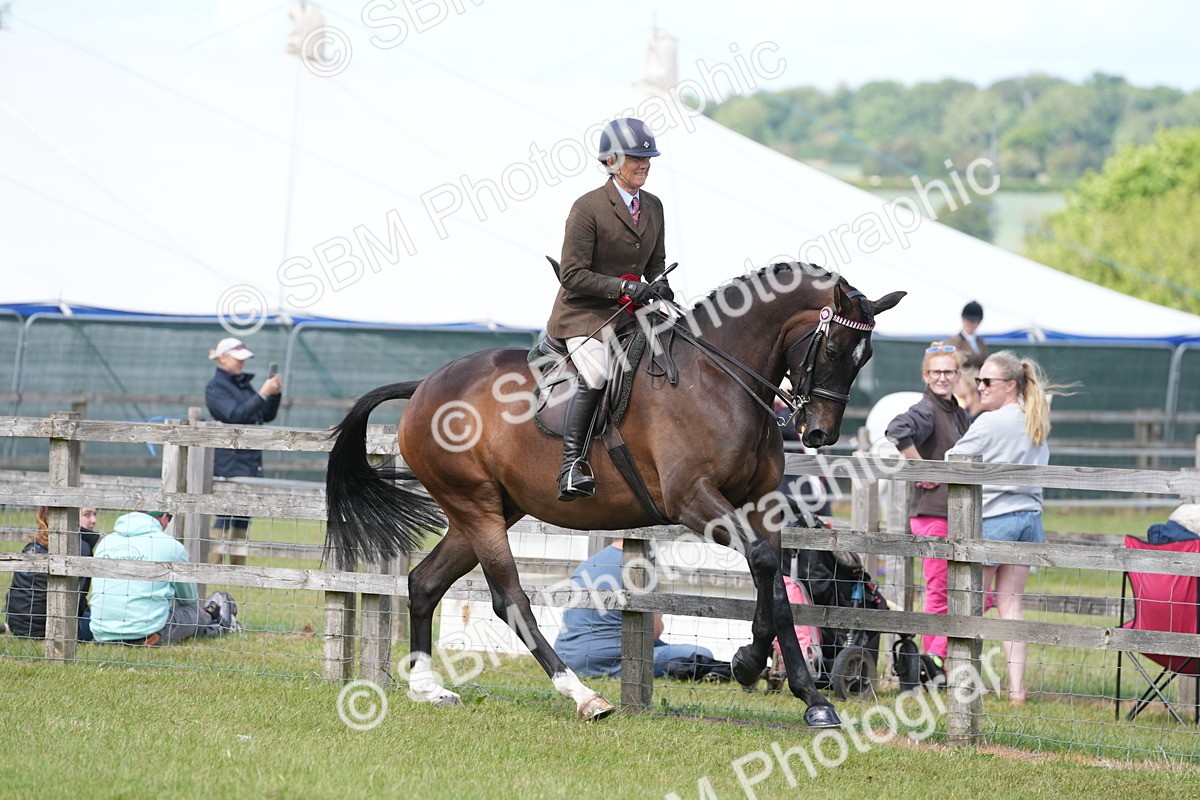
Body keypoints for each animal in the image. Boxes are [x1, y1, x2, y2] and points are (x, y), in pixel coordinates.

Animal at [325, 262, 904, 726]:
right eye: (834, 348)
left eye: (866, 355)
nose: (819, 433)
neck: (720, 378)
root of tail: (425, 385)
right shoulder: (694, 500)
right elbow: (763, 563)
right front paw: (754, 665)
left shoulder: (760, 506)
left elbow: (777, 588)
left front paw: (802, 692)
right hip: (476, 507)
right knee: (510, 599)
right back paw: (583, 696)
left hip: (489, 510)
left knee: (425, 582)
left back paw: (428, 689)